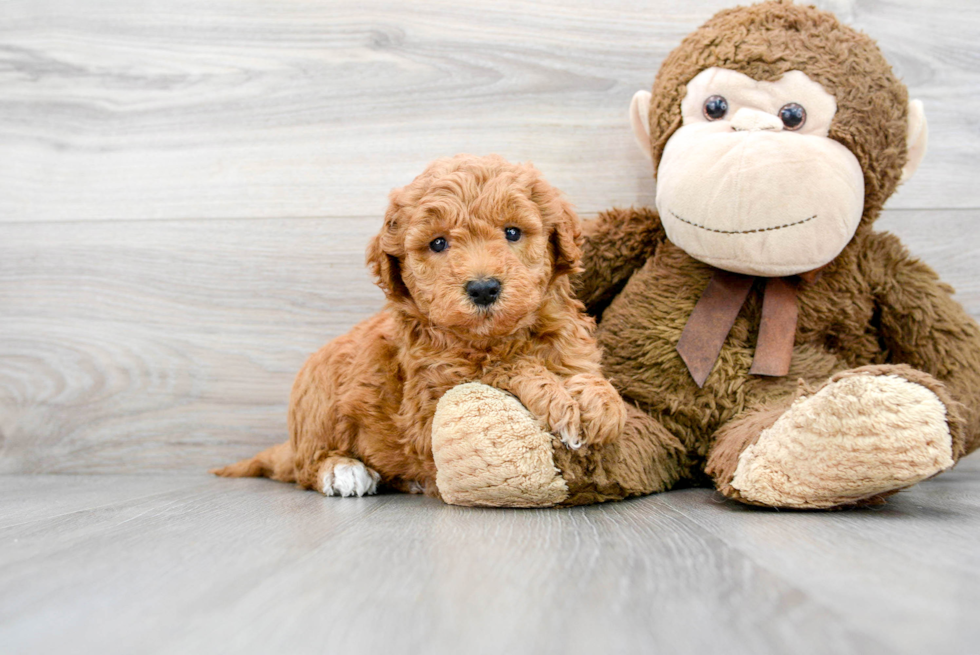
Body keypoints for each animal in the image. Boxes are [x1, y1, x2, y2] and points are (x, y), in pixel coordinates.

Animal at [214, 156, 628, 500]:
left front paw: (602, 403)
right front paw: (557, 399)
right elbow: (501, 369)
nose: (483, 288)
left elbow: (594, 383)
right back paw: (344, 470)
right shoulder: (426, 416)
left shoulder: (572, 351)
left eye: (512, 232)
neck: (495, 339)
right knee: (306, 467)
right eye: (438, 243)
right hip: (320, 396)